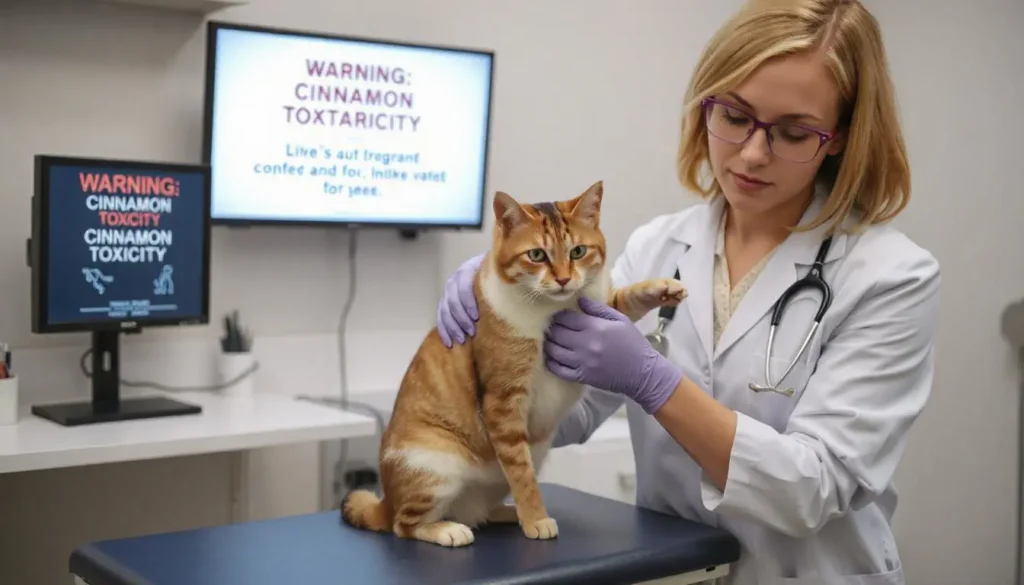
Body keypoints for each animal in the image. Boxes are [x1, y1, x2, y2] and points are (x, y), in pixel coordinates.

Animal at [339, 181, 684, 549]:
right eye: (537, 255)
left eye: (578, 251)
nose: (564, 280)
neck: (551, 310)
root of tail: (385, 501)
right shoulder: (503, 404)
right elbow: (522, 474)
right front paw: (536, 519)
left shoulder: (598, 308)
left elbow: (623, 300)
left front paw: (663, 287)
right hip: (435, 465)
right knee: (404, 525)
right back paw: (449, 529)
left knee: (475, 512)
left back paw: (503, 513)